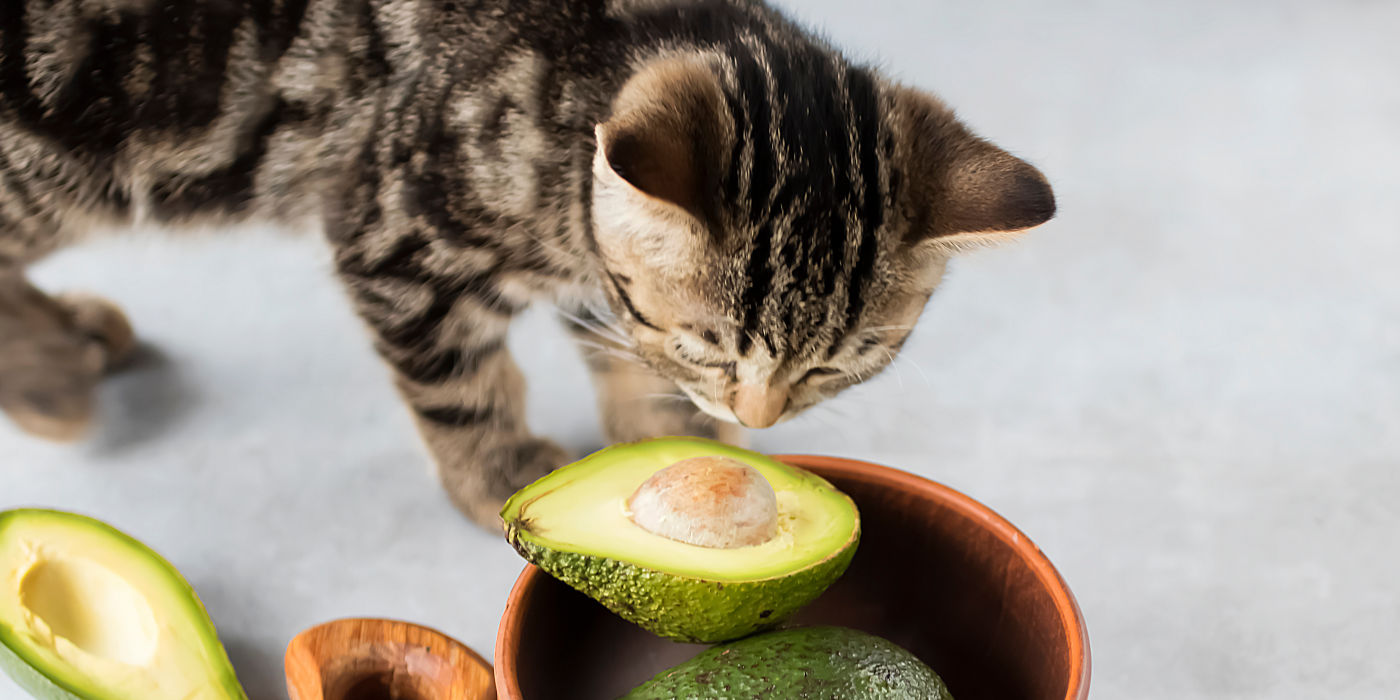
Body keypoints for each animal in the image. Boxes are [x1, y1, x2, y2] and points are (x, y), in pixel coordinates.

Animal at [0, 0, 1052, 526]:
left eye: (836, 365)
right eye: (713, 346)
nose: (758, 416)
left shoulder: (601, 290)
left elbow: (630, 367)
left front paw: (676, 448)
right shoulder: (393, 234)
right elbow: (462, 386)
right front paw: (499, 476)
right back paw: (47, 374)